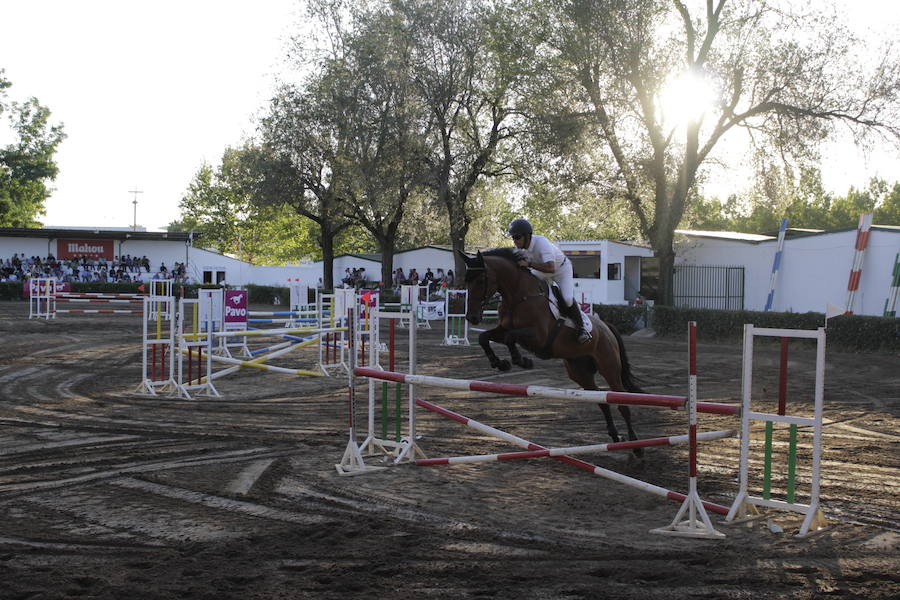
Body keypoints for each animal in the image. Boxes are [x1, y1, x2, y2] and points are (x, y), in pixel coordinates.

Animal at [460, 247, 644, 450]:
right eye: (466, 281)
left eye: (480, 280)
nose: (472, 317)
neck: (518, 296)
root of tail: (606, 327)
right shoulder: (503, 328)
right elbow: (484, 337)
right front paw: (500, 363)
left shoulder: (538, 336)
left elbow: (510, 338)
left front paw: (521, 360)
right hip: (580, 371)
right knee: (600, 400)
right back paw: (614, 435)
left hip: (609, 367)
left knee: (621, 402)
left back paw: (636, 446)